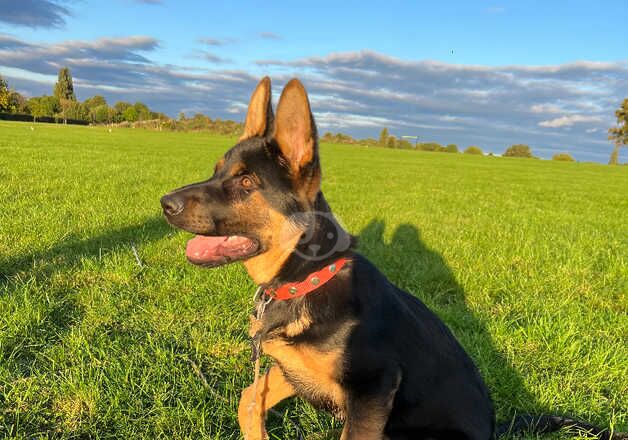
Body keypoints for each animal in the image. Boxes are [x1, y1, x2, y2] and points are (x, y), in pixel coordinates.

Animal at [162, 78, 624, 440]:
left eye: (245, 182)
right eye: (217, 171)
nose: (164, 204)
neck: (307, 277)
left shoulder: (372, 389)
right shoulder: (288, 369)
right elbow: (248, 399)